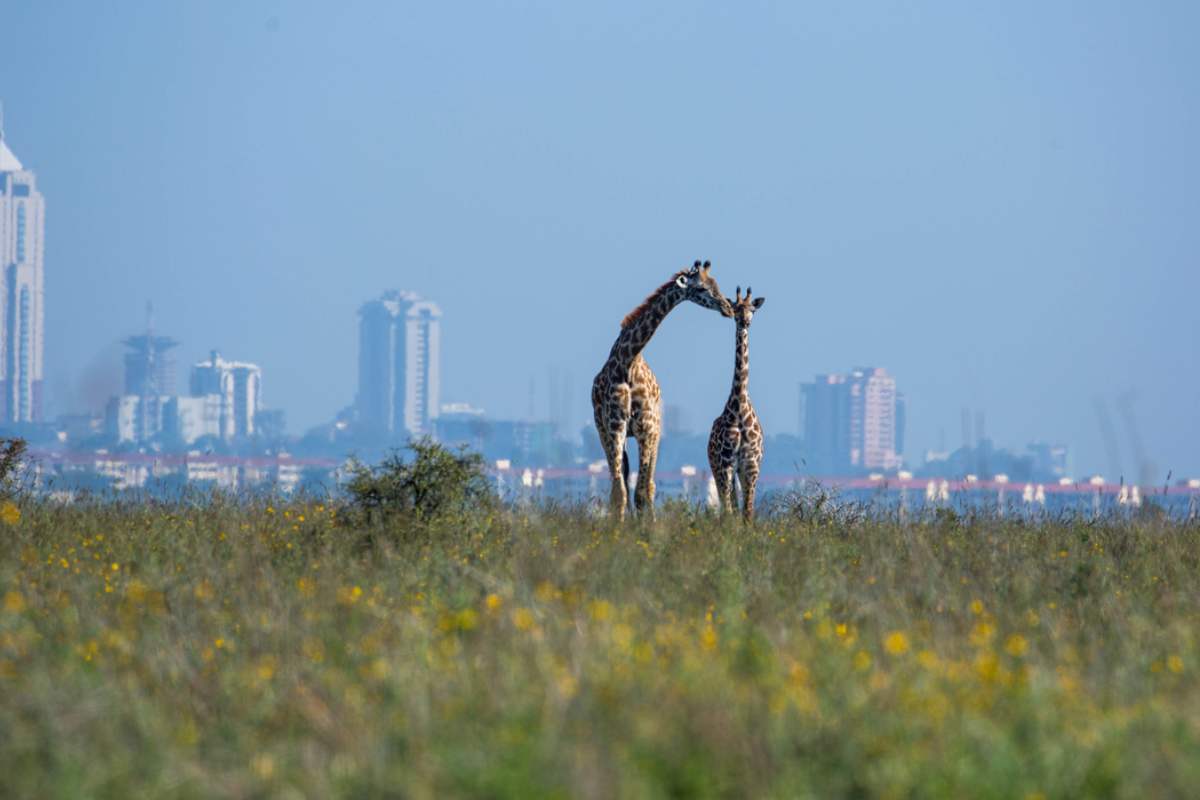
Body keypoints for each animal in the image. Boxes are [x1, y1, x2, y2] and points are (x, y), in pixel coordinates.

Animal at [590, 260, 729, 515]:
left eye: (717, 284)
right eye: (702, 288)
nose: (728, 308)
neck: (627, 361)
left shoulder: (647, 428)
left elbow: (642, 492)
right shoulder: (614, 427)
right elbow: (619, 493)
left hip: (654, 433)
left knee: (649, 485)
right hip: (605, 430)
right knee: (626, 481)